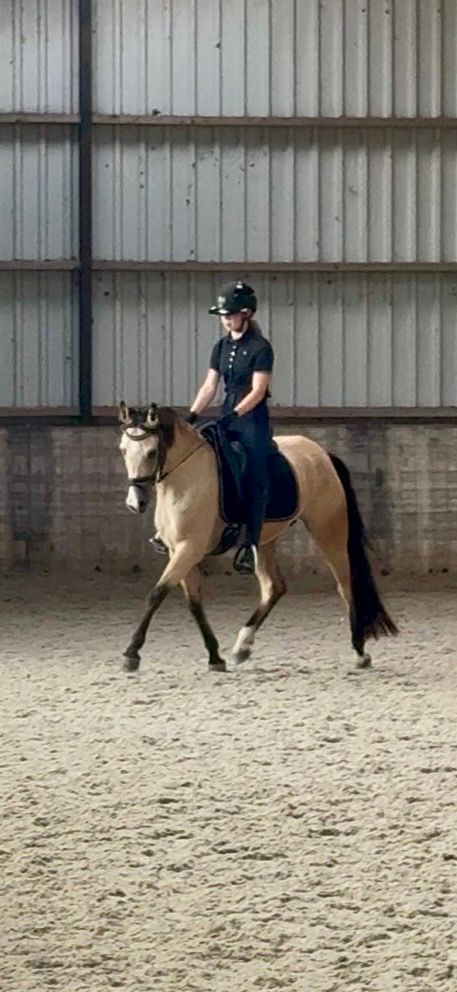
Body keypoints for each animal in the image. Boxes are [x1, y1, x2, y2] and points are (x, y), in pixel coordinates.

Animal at [118, 402, 398, 673]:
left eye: (151, 452)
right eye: (123, 450)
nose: (135, 503)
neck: (183, 477)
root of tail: (322, 454)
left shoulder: (190, 548)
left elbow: (156, 594)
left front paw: (131, 653)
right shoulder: (178, 550)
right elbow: (194, 602)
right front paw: (215, 657)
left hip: (328, 529)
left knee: (345, 585)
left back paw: (359, 651)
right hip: (263, 541)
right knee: (274, 586)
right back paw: (242, 646)